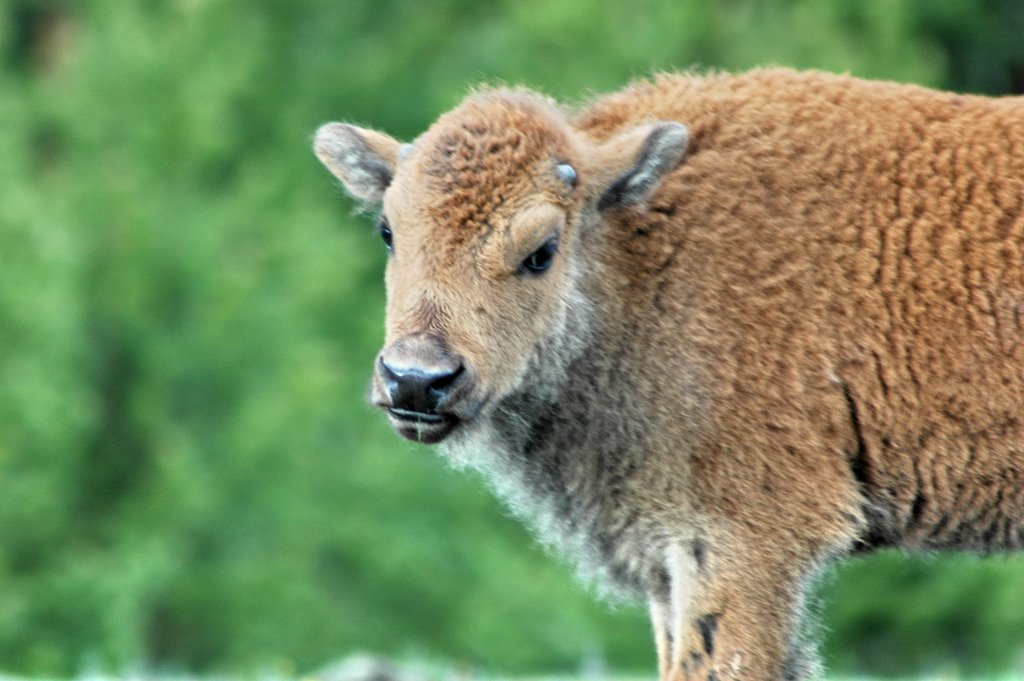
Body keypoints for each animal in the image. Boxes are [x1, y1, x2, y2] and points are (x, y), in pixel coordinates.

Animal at [315, 70, 1024, 679]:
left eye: (542, 251)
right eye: (387, 231)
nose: (416, 379)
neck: (638, 256)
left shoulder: (742, 543)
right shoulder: (665, 556)